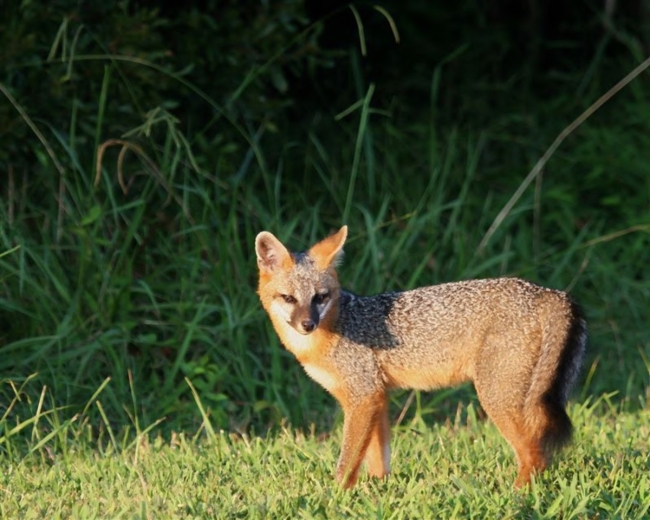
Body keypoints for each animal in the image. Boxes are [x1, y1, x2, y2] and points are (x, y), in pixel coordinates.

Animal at [254, 225, 586, 489]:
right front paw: (378, 491)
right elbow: (378, 457)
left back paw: (516, 495)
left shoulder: (363, 396)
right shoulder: (377, 396)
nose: (307, 324)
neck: (338, 325)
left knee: (536, 456)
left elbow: (347, 460)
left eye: (320, 297)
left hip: (498, 399)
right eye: (289, 298)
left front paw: (335, 496)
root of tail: (547, 291)